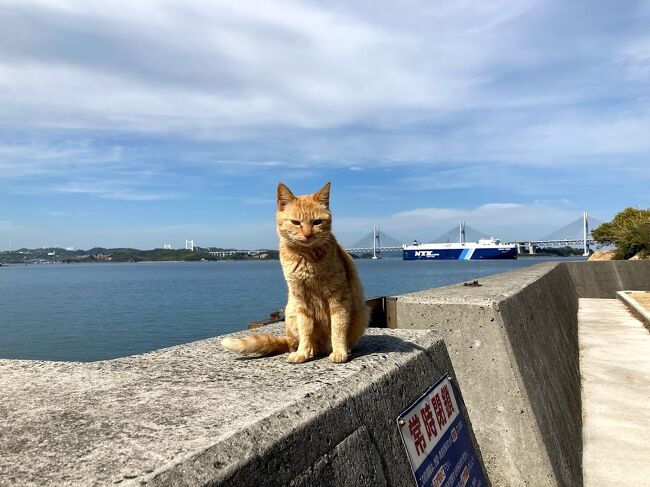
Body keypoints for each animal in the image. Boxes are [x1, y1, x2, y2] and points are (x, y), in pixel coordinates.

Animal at [220, 182, 368, 362]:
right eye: (296, 222)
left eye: (317, 222)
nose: (308, 234)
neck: (307, 257)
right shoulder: (301, 299)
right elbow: (305, 331)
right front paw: (302, 352)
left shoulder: (339, 298)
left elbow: (338, 328)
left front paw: (339, 350)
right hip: (291, 313)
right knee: (295, 343)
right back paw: (308, 350)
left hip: (363, 314)